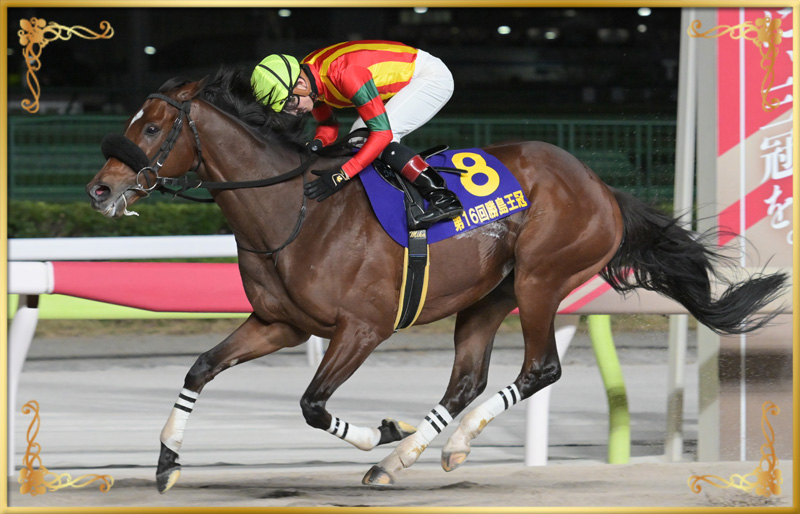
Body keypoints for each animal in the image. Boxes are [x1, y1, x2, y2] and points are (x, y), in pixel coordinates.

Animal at [86, 68, 787, 493]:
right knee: (467, 380)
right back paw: (410, 456)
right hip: (486, 297)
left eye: (153, 127)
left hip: (539, 280)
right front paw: (167, 463)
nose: (100, 190)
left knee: (540, 368)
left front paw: (382, 432)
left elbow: (312, 406)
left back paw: (428, 449)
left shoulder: (362, 329)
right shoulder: (279, 324)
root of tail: (600, 186)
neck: (296, 209)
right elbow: (201, 368)